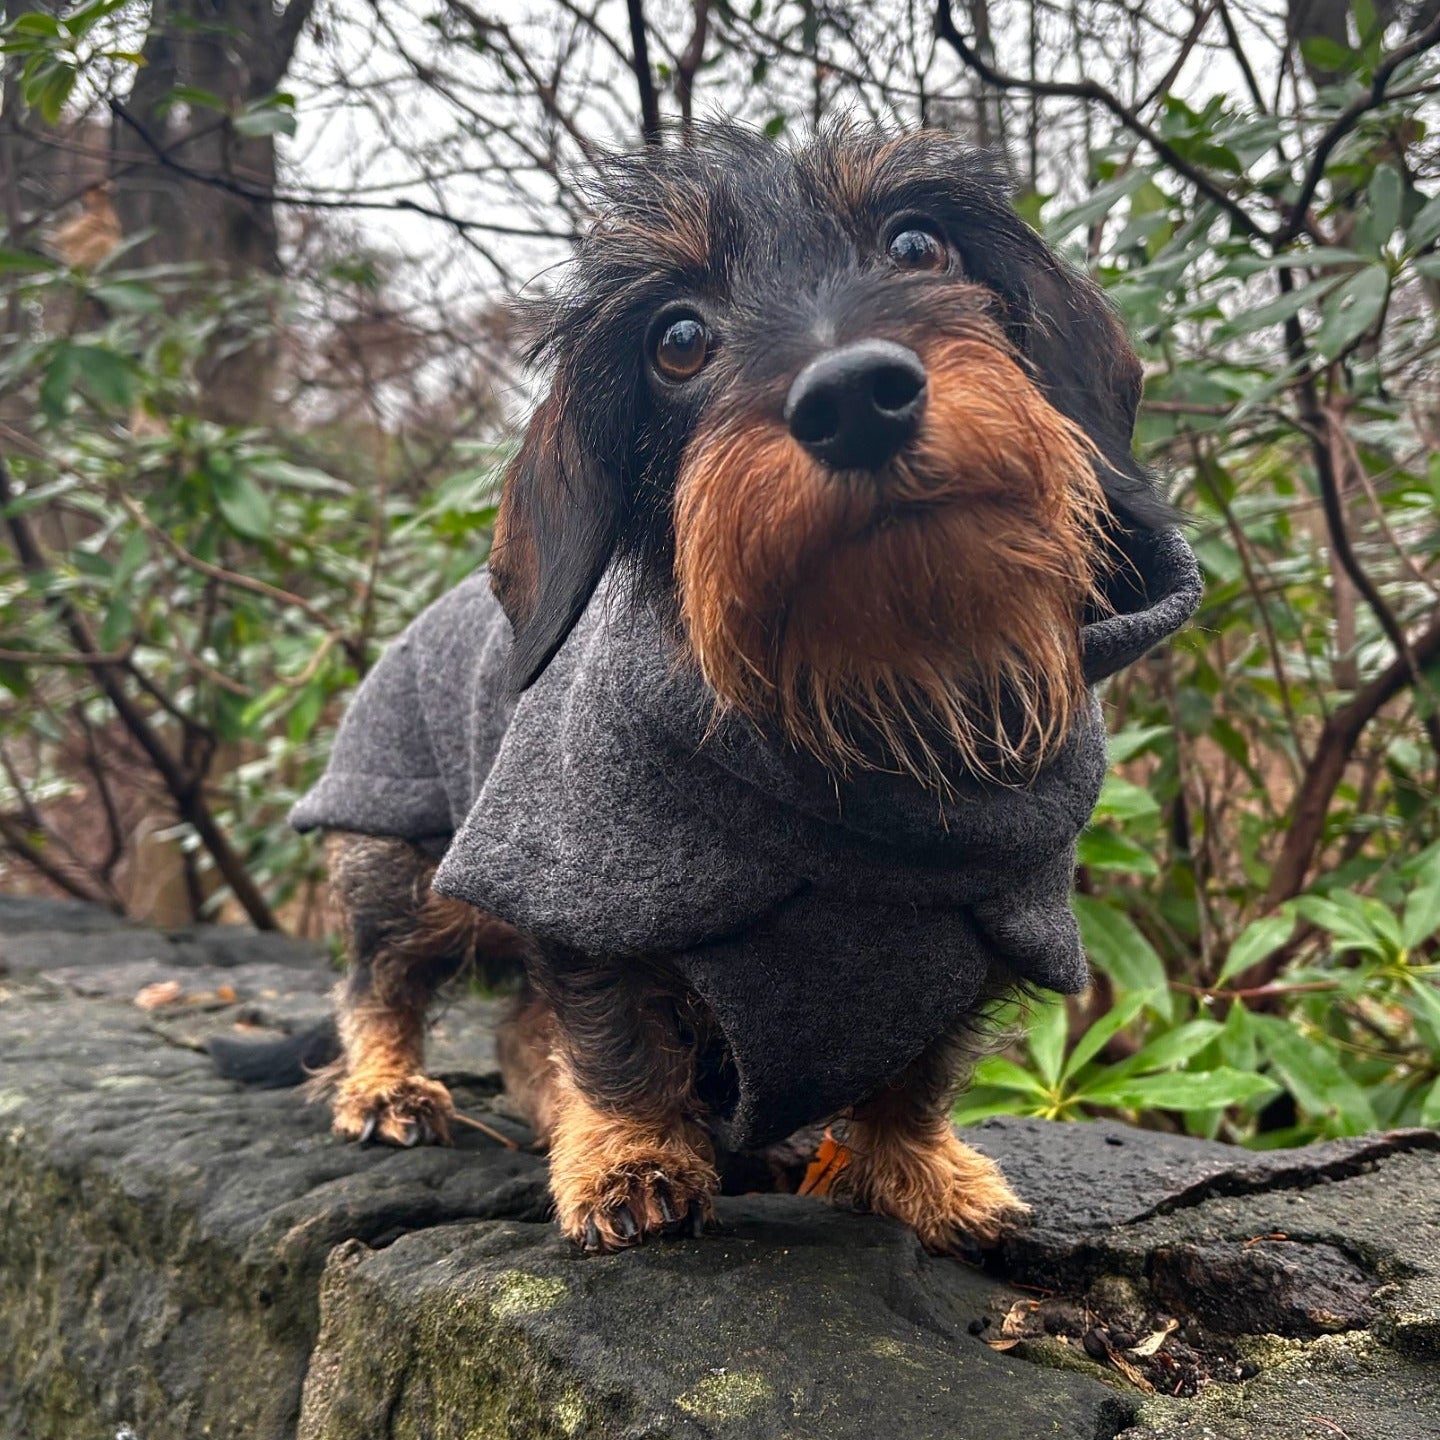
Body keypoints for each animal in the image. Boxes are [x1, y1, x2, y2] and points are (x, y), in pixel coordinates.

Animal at [211, 122, 1200, 1256]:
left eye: (919, 245)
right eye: (677, 338)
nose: (854, 398)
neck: (865, 693)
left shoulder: (996, 928)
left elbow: (920, 1074)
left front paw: (925, 1175)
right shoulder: (586, 898)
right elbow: (617, 1038)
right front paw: (630, 1160)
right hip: (403, 858)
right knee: (380, 983)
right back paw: (387, 1089)